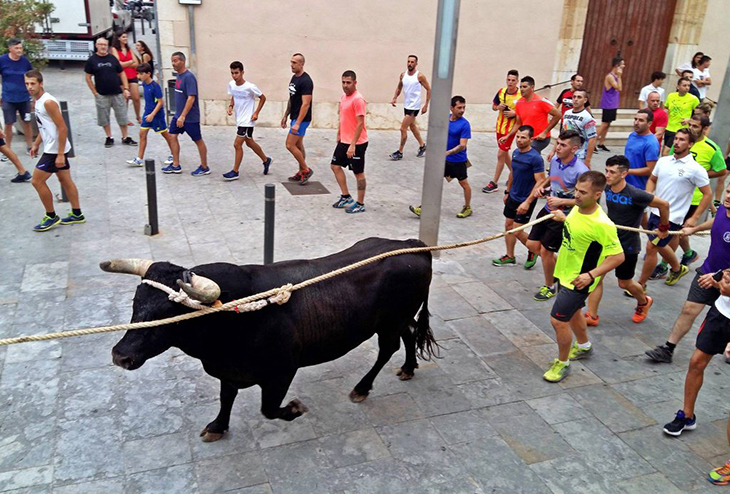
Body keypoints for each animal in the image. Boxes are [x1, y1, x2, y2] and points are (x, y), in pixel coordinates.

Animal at [105, 237, 436, 442]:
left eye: (170, 312)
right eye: (135, 303)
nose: (121, 356)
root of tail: (413, 246)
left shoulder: (281, 372)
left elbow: (269, 409)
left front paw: (295, 409)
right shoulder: (227, 370)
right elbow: (226, 398)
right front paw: (217, 427)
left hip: (390, 322)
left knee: (387, 349)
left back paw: (362, 388)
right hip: (399, 318)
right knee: (408, 335)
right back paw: (408, 368)